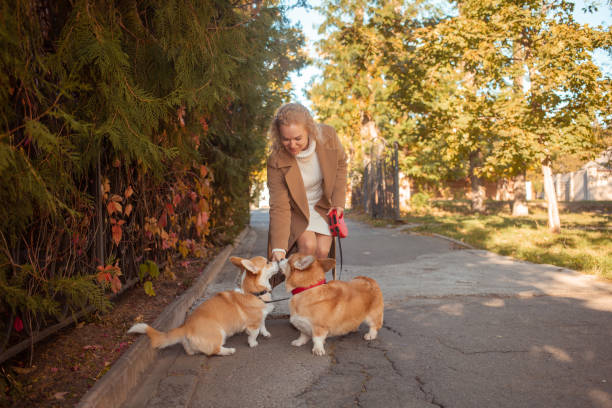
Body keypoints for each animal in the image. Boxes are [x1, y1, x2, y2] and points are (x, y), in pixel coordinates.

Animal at [129, 256, 278, 356]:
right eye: (268, 262)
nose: (278, 259)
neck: (254, 293)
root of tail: (186, 327)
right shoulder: (253, 324)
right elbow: (254, 333)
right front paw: (253, 343)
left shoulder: (261, 317)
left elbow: (263, 326)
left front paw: (266, 333)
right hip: (220, 333)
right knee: (214, 350)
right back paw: (229, 350)